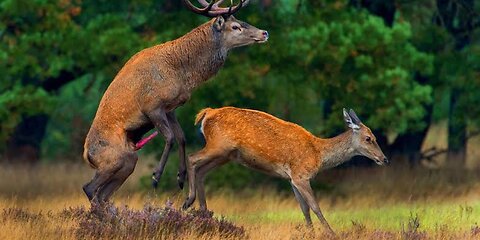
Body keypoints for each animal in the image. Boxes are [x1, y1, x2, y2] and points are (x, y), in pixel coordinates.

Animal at [182, 107, 388, 234]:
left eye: (375, 137)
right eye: (369, 138)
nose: (384, 159)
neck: (318, 155)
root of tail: (206, 113)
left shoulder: (292, 179)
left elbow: (304, 209)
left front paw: (310, 233)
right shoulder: (301, 175)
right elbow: (315, 206)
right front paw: (331, 233)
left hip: (226, 155)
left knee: (201, 171)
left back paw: (204, 213)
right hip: (219, 145)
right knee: (192, 158)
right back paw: (188, 201)